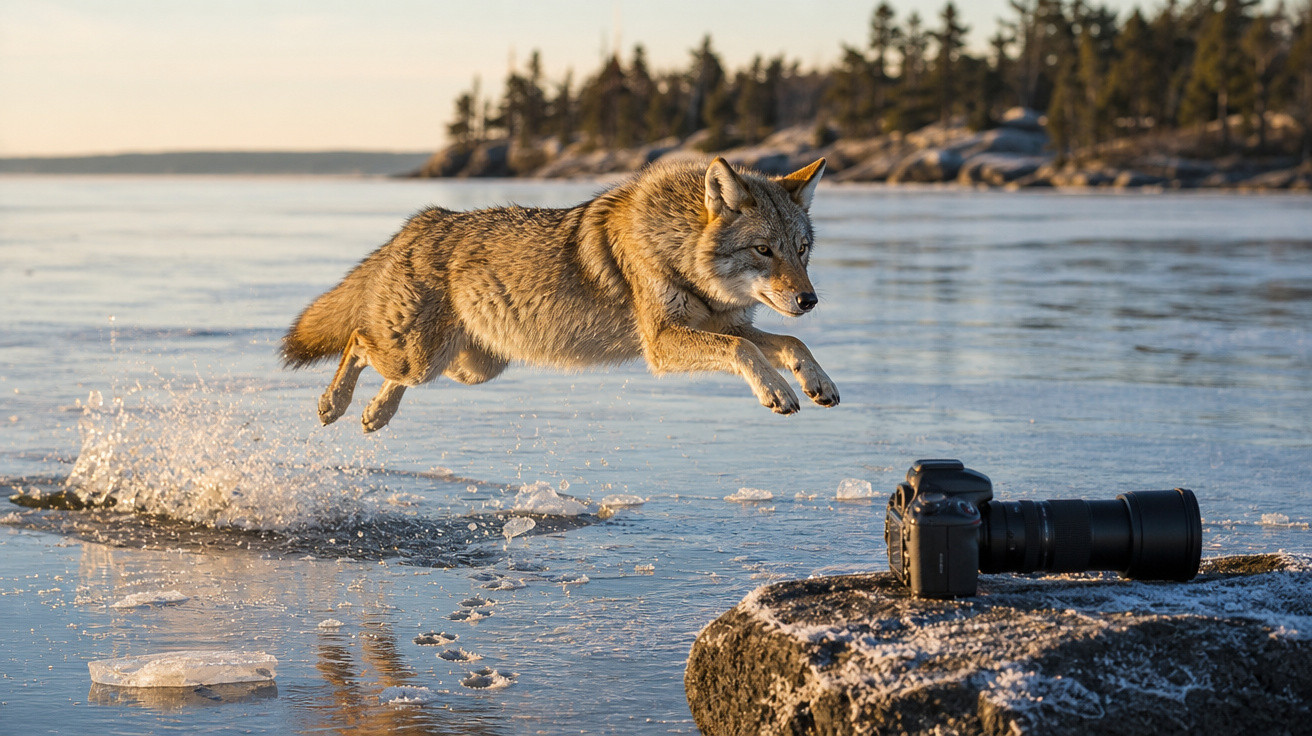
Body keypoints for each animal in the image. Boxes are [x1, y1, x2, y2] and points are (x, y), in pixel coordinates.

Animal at [281, 156, 839, 433]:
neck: (674, 246)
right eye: (764, 250)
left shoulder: (724, 324)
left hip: (465, 368)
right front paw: (777, 392)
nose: (809, 300)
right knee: (356, 341)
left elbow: (791, 344)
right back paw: (334, 405)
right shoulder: (663, 344)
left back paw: (375, 416)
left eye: (802, 250)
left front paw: (818, 383)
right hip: (422, 358)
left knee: (386, 371)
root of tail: (423, 221)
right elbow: (746, 351)